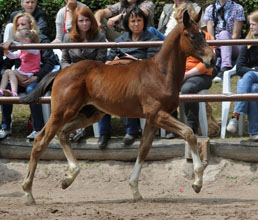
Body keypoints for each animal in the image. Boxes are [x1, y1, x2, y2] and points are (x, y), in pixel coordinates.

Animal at [20, 11, 216, 205]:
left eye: (203, 34)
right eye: (193, 35)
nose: (212, 58)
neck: (160, 73)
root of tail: (61, 72)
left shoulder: (152, 120)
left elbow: (143, 149)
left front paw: (135, 191)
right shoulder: (157, 114)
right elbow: (189, 133)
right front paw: (197, 183)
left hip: (90, 114)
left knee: (62, 133)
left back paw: (68, 178)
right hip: (61, 112)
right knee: (41, 140)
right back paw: (28, 192)